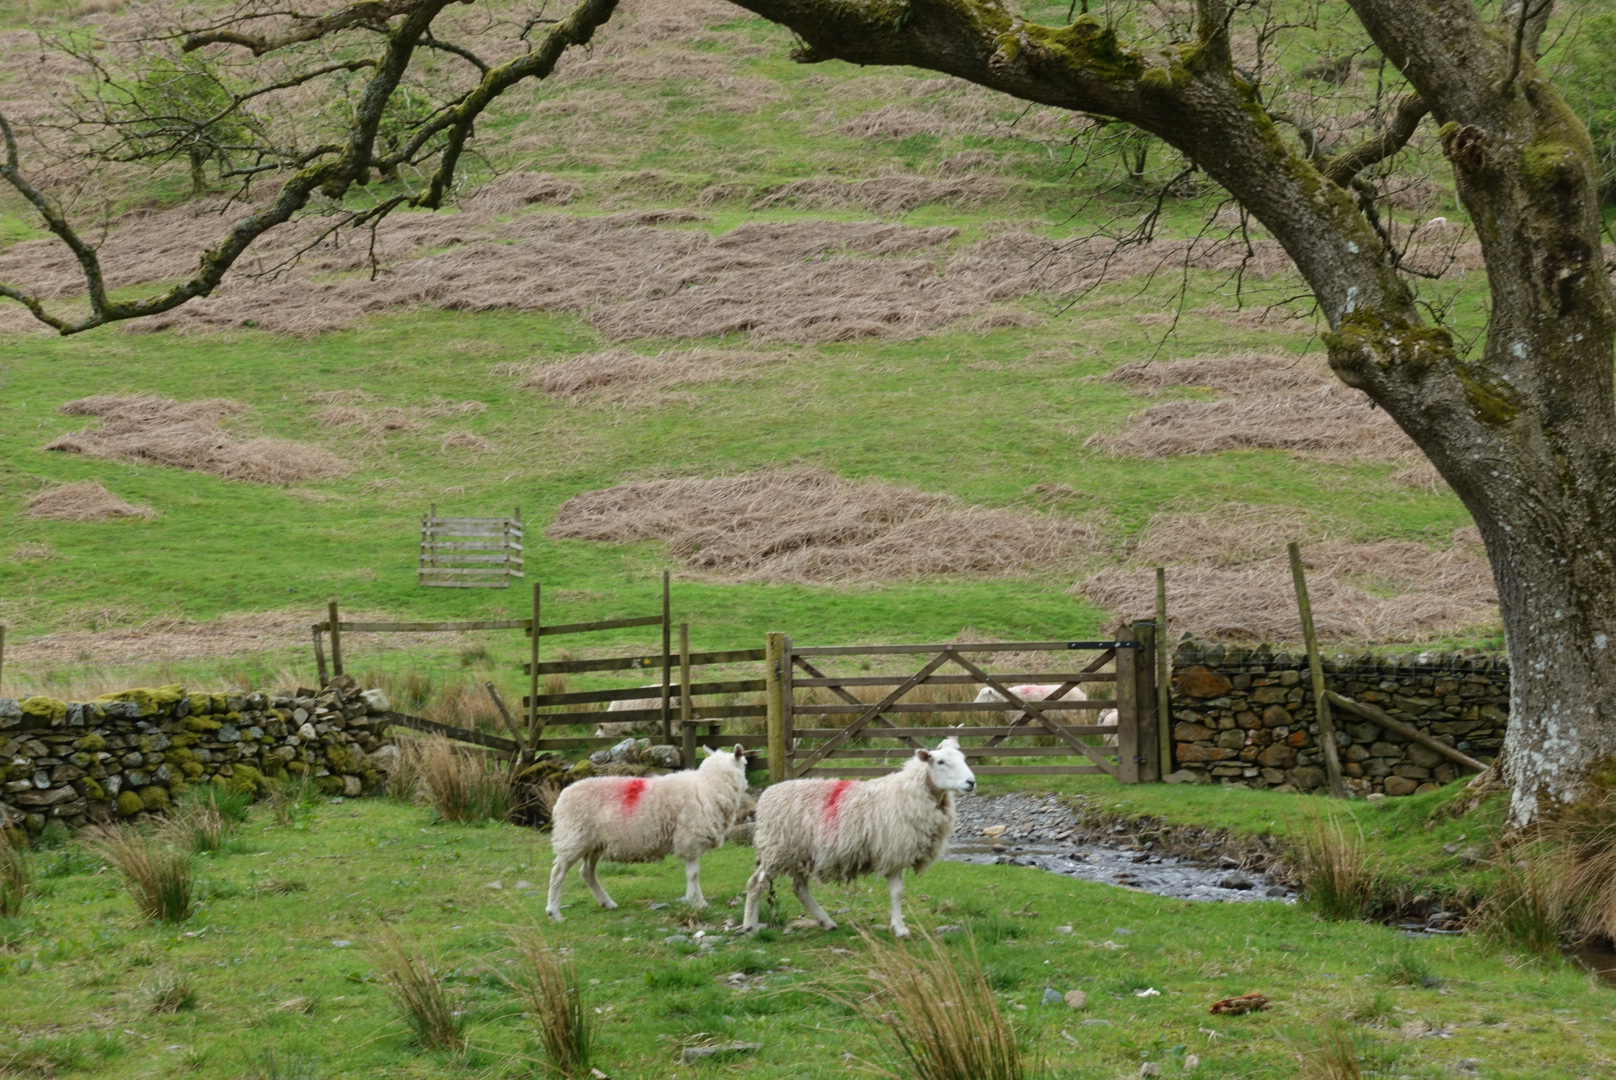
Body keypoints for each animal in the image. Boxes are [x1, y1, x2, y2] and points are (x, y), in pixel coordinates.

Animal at [542, 746, 743, 924]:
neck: (708, 786)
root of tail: (563, 795)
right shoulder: (689, 839)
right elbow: (693, 875)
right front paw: (698, 903)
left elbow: (692, 875)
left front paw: (695, 901)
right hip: (573, 838)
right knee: (557, 873)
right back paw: (554, 911)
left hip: (593, 843)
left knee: (587, 873)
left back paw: (607, 902)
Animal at [740, 737, 969, 937]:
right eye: (940, 762)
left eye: (964, 758)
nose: (971, 782)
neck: (911, 791)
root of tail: (767, 795)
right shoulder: (893, 850)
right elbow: (897, 892)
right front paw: (900, 928)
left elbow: (897, 892)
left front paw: (898, 926)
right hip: (779, 849)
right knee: (755, 883)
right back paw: (750, 926)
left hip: (798, 854)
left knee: (799, 889)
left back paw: (826, 922)